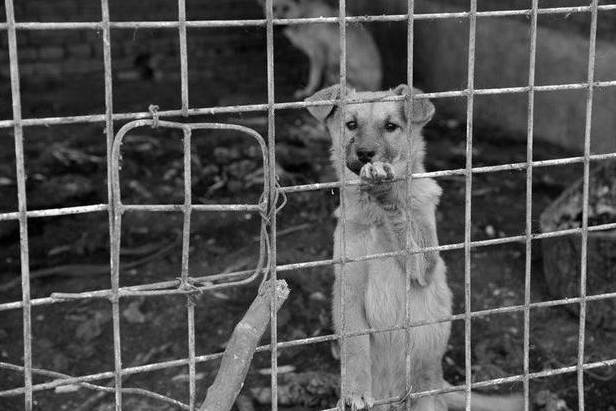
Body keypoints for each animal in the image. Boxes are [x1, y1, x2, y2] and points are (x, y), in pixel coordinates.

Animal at [306, 84, 524, 411]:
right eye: (351, 124)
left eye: (391, 126)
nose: (365, 154)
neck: (376, 218)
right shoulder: (348, 286)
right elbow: (355, 346)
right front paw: (355, 390)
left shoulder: (423, 268)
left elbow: (407, 229)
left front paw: (387, 189)